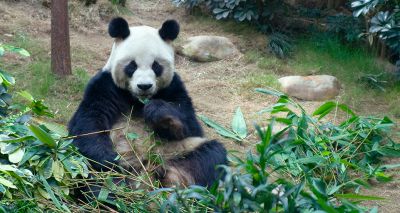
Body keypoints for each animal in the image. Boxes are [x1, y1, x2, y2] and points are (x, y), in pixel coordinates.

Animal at [69, 17, 228, 188]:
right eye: (132, 65)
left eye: (156, 66)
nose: (144, 86)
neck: (137, 99)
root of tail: (145, 174)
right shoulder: (105, 87)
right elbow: (89, 122)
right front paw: (109, 160)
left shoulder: (173, 87)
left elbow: (190, 124)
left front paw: (161, 115)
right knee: (95, 178)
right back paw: (117, 184)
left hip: (180, 150)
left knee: (211, 155)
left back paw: (174, 177)